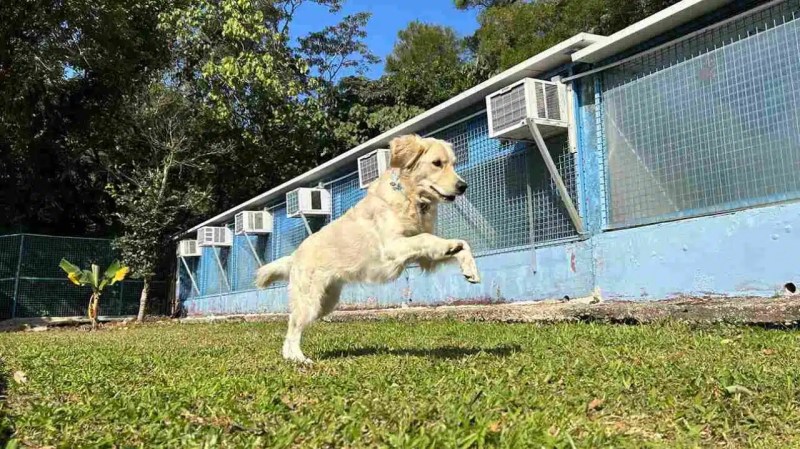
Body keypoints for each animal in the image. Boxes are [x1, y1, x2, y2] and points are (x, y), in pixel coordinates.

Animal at [260, 135, 478, 362]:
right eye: (437, 163)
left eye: (453, 163)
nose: (463, 186)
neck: (410, 197)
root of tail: (294, 255)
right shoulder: (392, 247)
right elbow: (426, 237)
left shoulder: (425, 259)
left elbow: (460, 244)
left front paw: (468, 267)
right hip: (310, 301)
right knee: (293, 326)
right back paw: (299, 358)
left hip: (325, 303)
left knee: (291, 325)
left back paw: (291, 357)